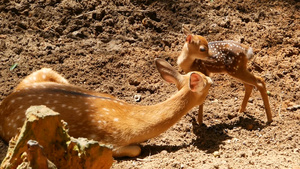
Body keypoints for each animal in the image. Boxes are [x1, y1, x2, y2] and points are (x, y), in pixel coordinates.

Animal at [0, 58, 212, 158]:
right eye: (210, 84)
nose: (213, 79)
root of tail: (3, 106)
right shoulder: (108, 143)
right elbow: (136, 149)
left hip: (43, 73)